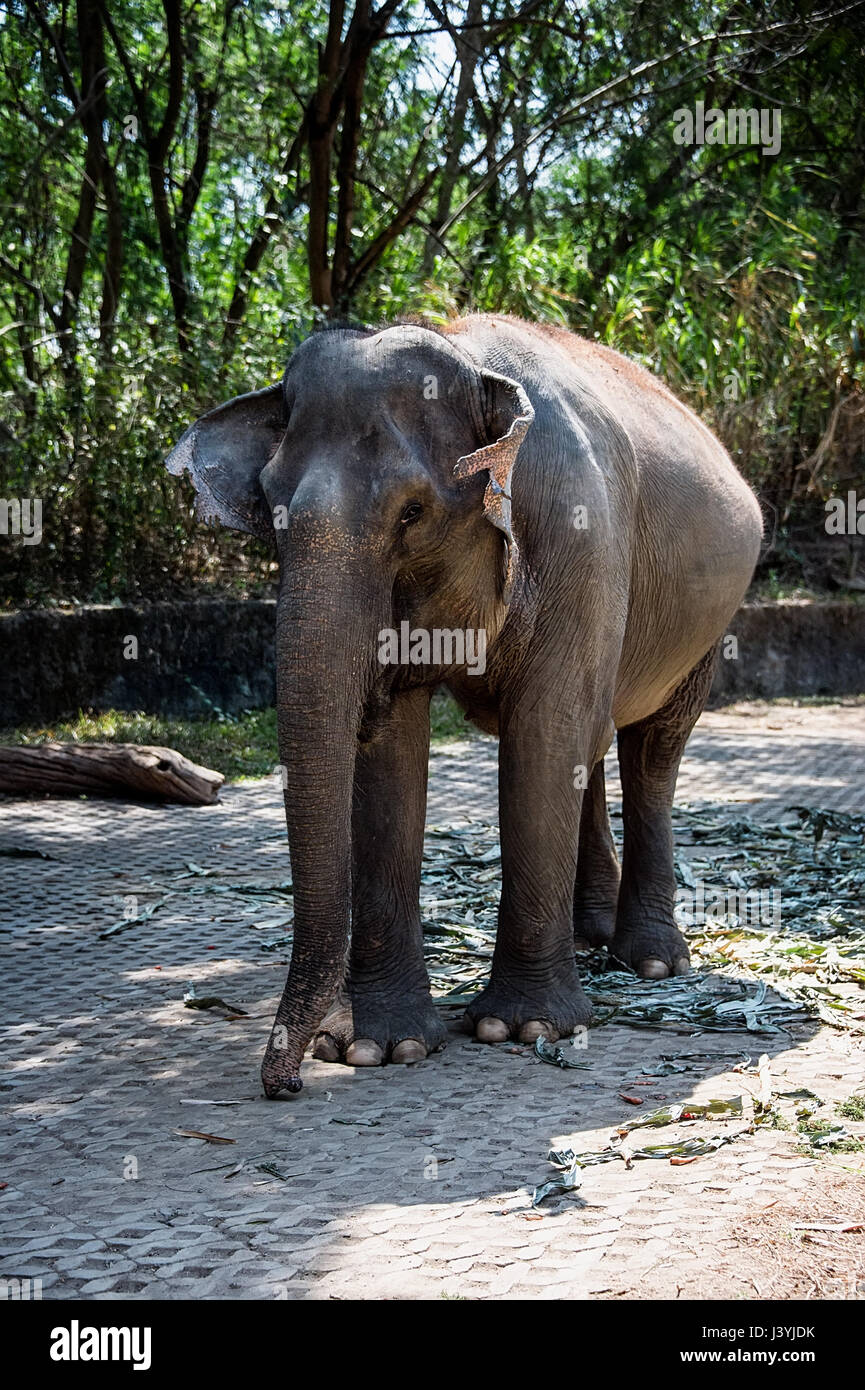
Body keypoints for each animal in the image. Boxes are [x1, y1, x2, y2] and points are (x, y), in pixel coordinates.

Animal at [166, 315, 762, 1095]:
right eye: (271, 508)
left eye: (413, 512)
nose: (284, 1084)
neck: (467, 359)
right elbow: (391, 751)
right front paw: (375, 1047)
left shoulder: (581, 540)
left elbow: (542, 732)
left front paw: (524, 1029)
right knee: (595, 737)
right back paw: (589, 934)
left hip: (707, 622)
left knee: (650, 750)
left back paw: (652, 959)